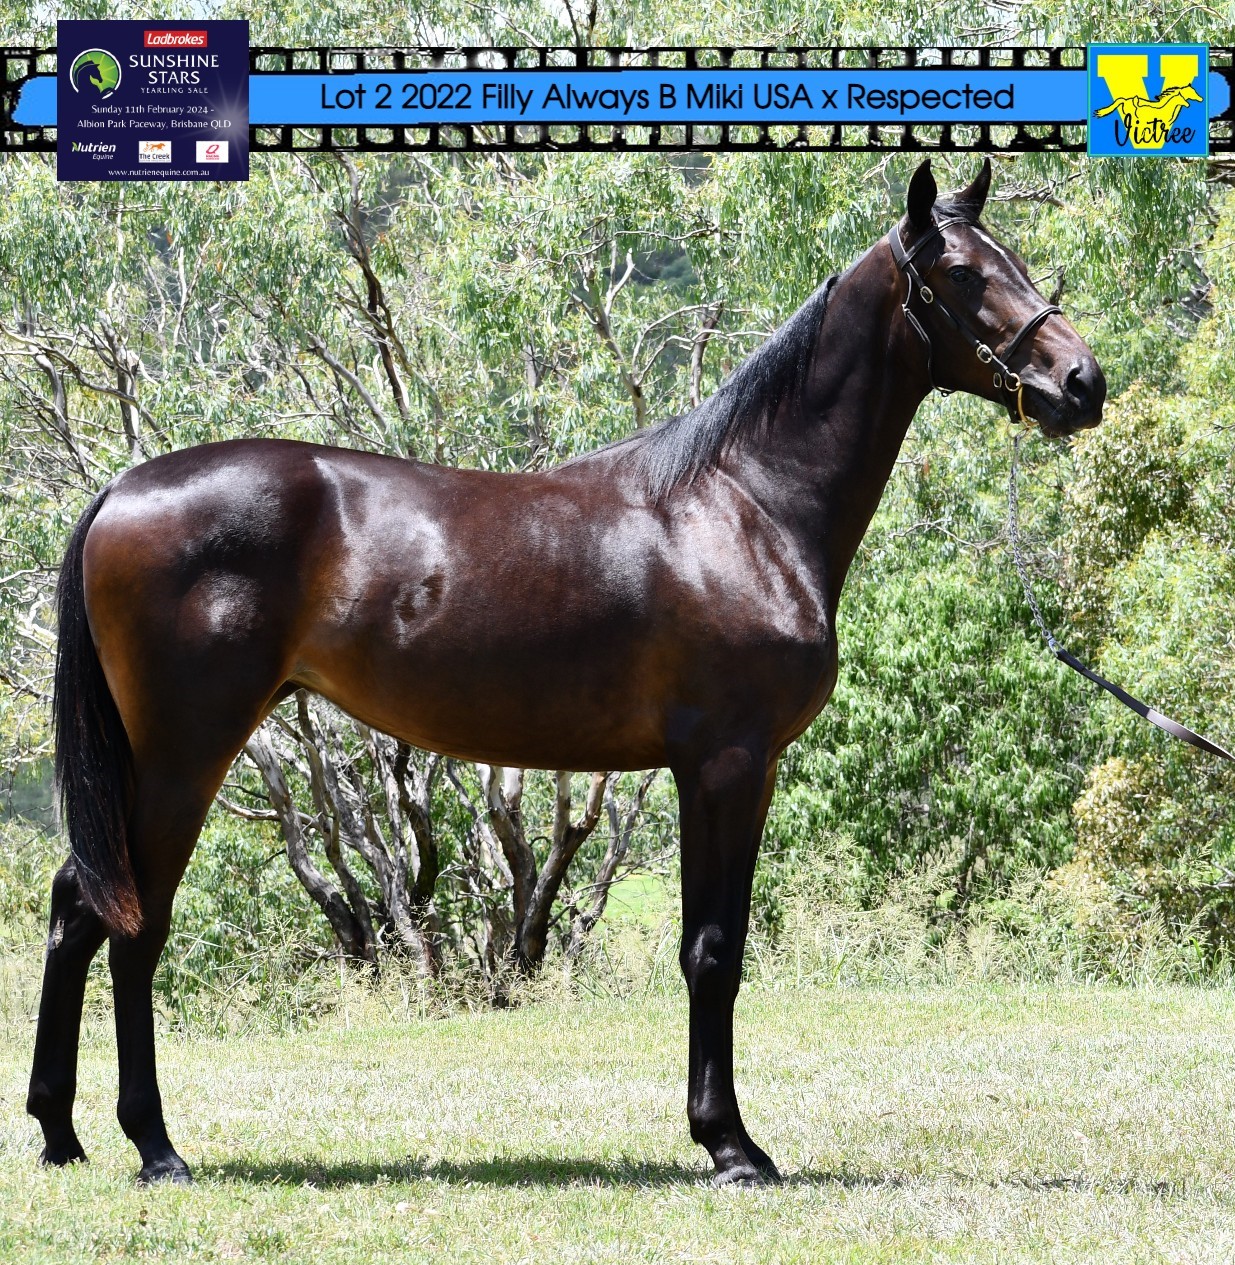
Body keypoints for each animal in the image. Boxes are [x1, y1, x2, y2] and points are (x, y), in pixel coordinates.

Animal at [28, 158, 1104, 1187]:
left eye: (1012, 260)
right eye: (961, 275)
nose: (1081, 382)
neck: (743, 503)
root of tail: (123, 489)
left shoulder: (735, 770)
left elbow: (717, 944)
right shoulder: (723, 763)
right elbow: (711, 951)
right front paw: (729, 1146)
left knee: (76, 905)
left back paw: (59, 1133)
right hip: (184, 752)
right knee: (134, 922)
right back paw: (154, 1145)